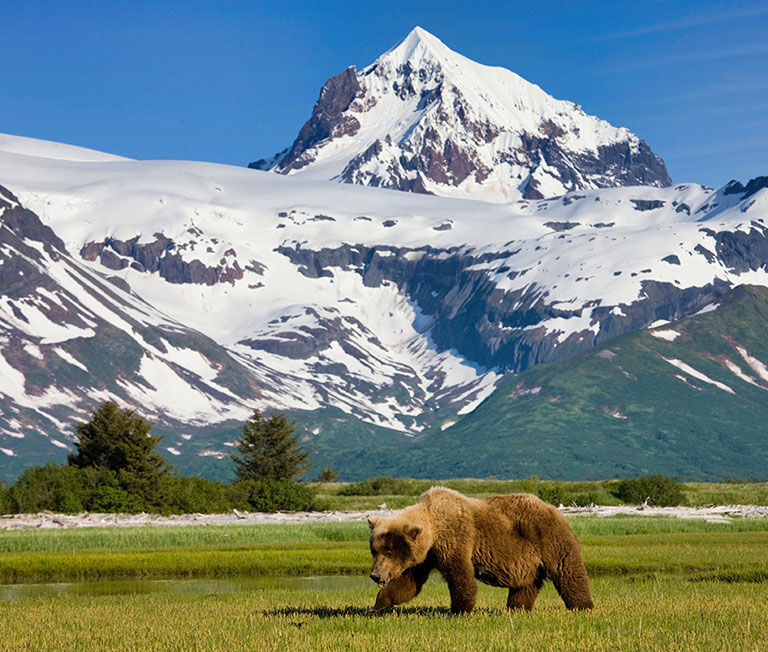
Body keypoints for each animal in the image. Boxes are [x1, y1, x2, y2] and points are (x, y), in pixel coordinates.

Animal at [368, 486, 592, 612]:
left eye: (389, 552)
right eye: (374, 551)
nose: (375, 575)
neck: (434, 525)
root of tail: (555, 509)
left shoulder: (456, 539)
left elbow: (460, 576)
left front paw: (459, 610)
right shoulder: (425, 556)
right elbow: (408, 583)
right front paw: (377, 606)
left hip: (548, 538)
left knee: (567, 571)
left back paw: (582, 607)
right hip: (527, 559)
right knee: (526, 585)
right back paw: (516, 609)